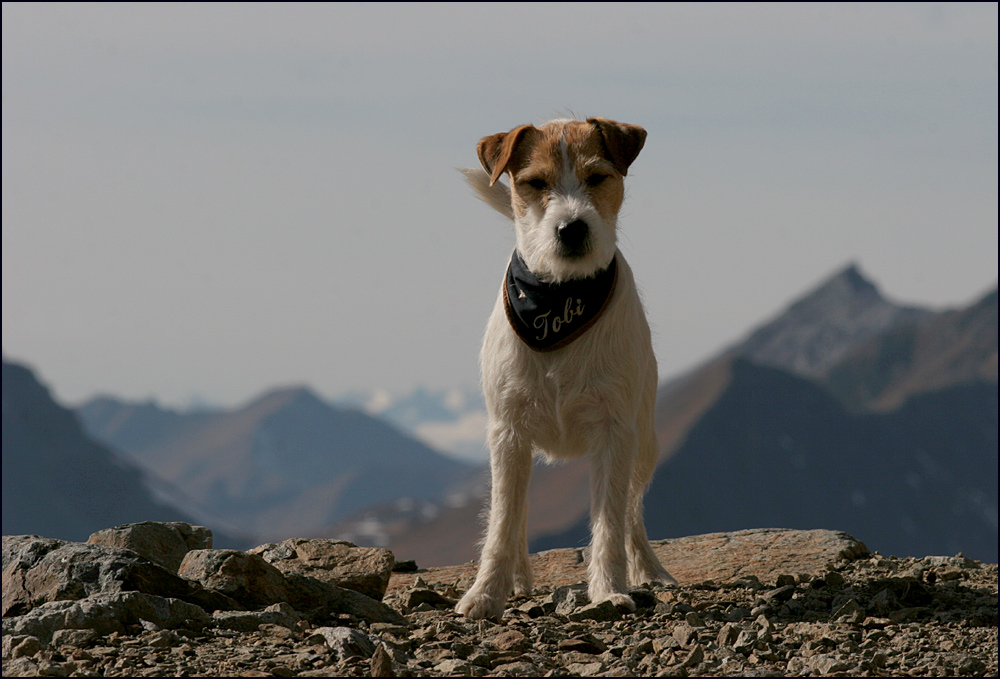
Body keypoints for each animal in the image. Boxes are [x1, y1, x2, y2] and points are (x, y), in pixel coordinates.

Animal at [456, 118, 676, 620]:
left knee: (632, 513)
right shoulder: (508, 432)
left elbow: (610, 523)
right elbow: (502, 522)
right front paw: (486, 593)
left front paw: (609, 589)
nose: (572, 228)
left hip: (645, 444)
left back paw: (649, 570)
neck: (558, 299)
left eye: (597, 177)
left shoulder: (614, 434)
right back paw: (518, 577)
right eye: (535, 183)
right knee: (515, 510)